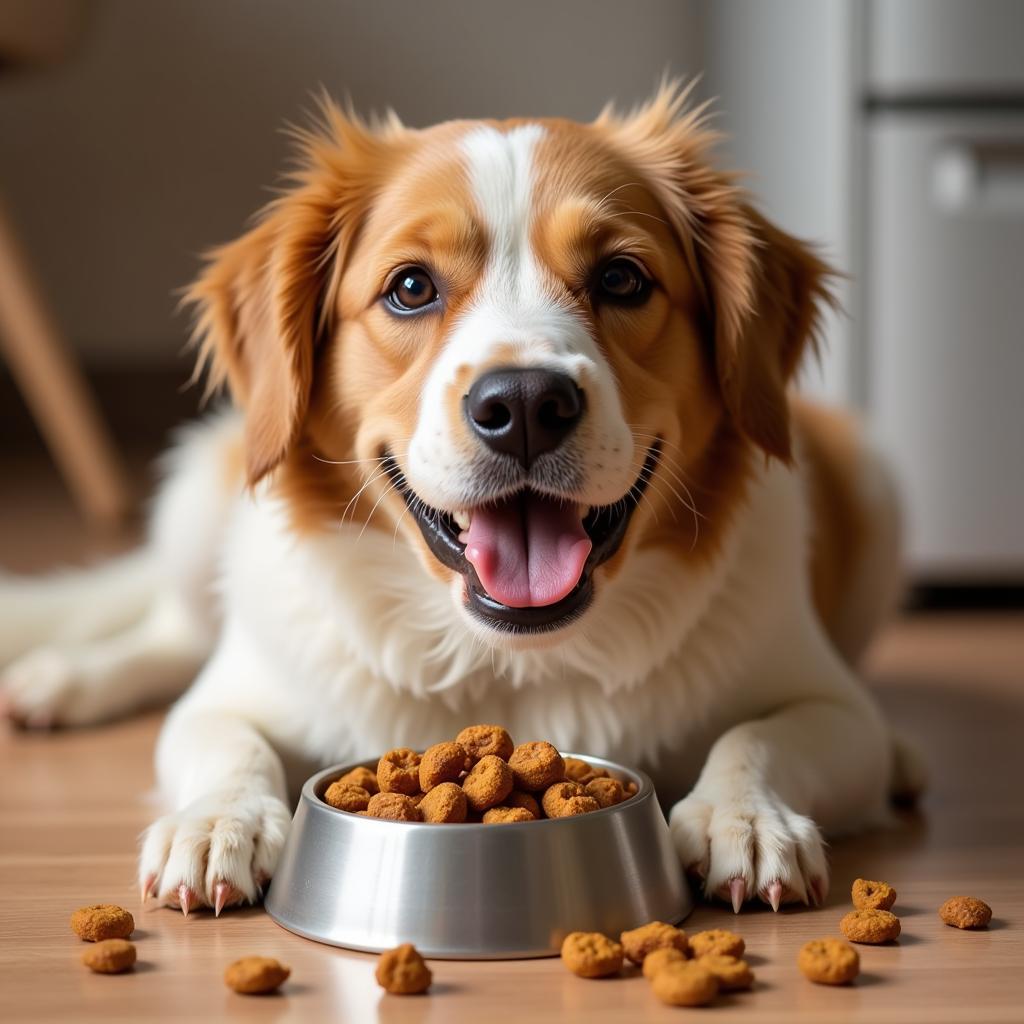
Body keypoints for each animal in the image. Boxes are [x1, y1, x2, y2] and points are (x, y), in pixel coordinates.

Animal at [0, 86, 921, 921]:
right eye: (411, 287)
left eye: (623, 278)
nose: (525, 403)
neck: (504, 659)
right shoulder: (227, 697)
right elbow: (225, 739)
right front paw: (220, 821)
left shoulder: (832, 705)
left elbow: (758, 736)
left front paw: (746, 815)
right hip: (198, 503)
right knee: (170, 627)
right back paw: (61, 679)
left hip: (876, 488)